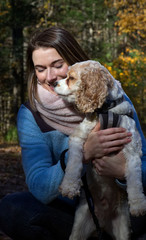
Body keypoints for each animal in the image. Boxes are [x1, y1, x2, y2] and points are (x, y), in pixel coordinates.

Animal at [53, 60, 146, 240]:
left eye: (71, 78)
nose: (54, 83)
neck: (107, 111)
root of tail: (101, 224)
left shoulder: (133, 150)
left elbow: (135, 180)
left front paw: (138, 204)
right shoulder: (78, 138)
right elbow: (74, 164)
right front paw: (69, 186)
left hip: (123, 229)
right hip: (79, 227)